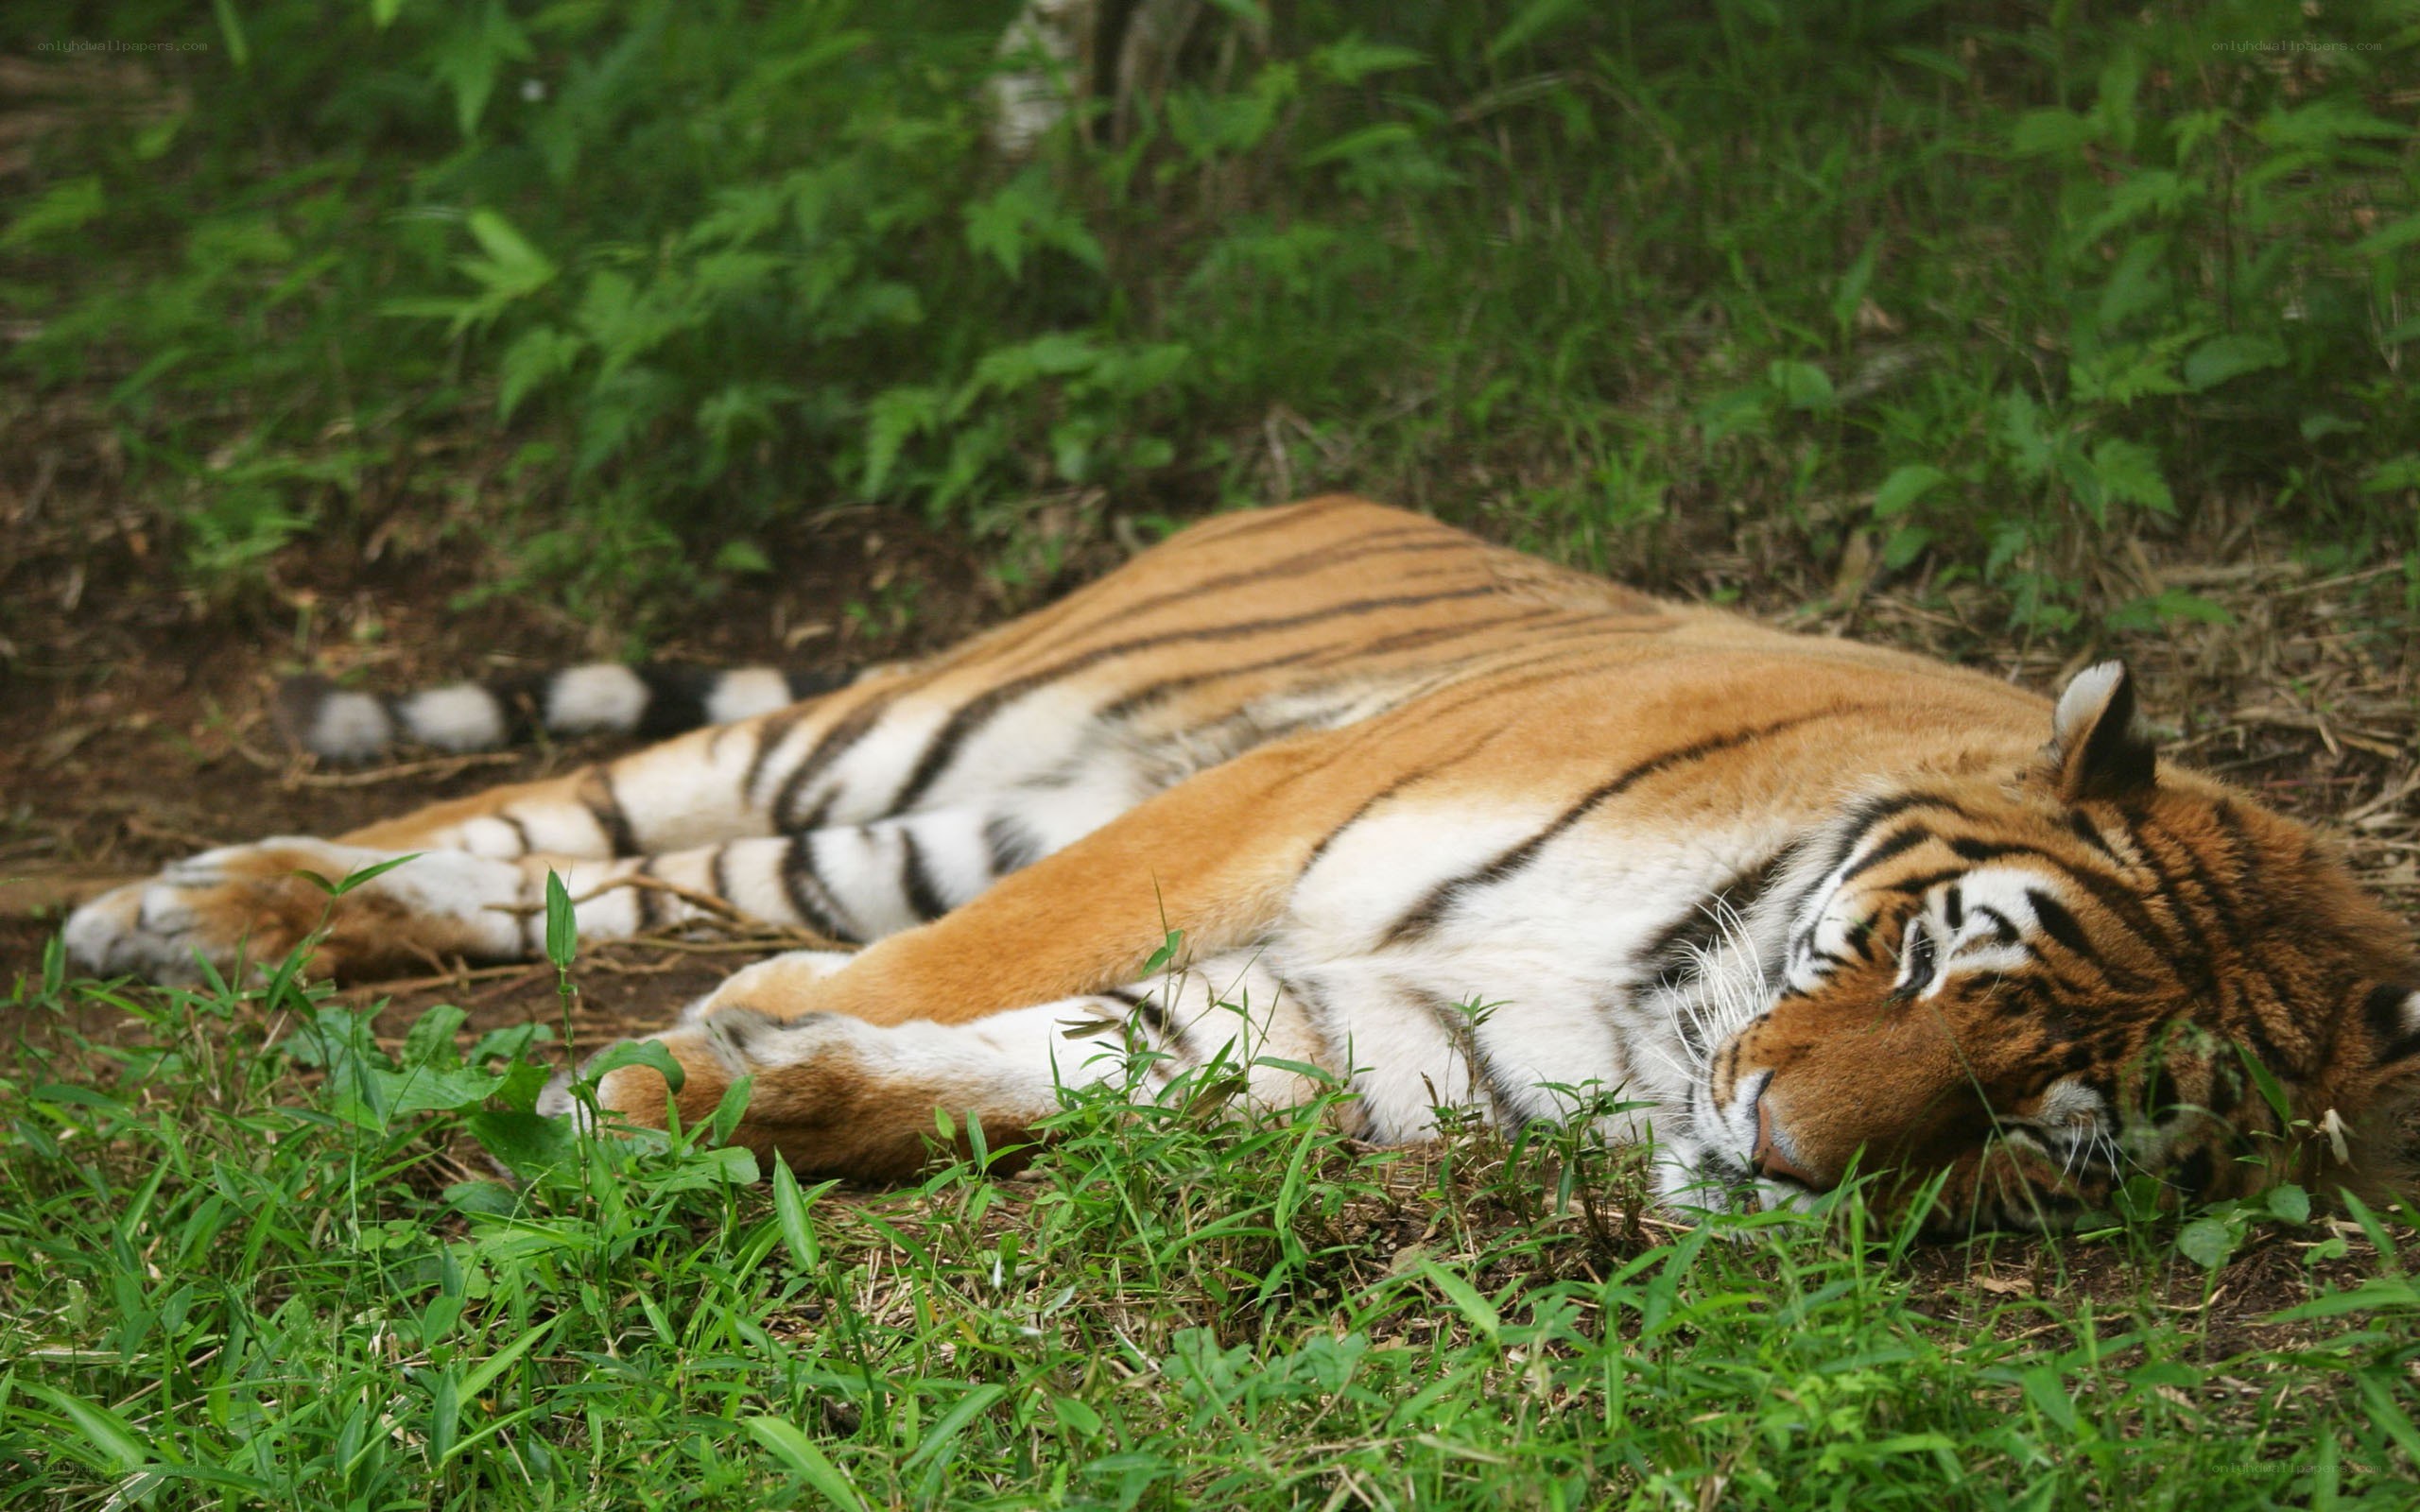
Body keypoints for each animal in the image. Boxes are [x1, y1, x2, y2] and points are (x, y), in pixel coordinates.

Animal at [62, 496, 2420, 1231]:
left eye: (2049, 1133)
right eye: (1934, 960)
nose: (1774, 1153)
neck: (1682, 986)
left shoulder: (1389, 1025)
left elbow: (1070, 1057)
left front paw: (720, 1092)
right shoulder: (1277, 808)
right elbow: (1003, 967)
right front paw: (707, 1063)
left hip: (913, 811)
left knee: (642, 880)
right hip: (943, 720)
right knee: (559, 809)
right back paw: (181, 901)